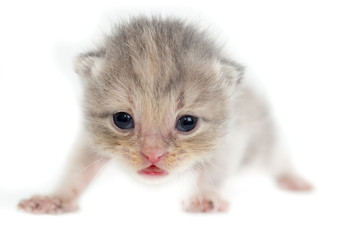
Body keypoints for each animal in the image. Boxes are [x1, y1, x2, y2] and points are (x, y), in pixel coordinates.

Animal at [18, 15, 312, 213]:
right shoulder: (91, 139)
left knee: (276, 156)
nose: (153, 155)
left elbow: (217, 169)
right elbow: (76, 169)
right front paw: (57, 198)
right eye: (122, 119)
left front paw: (206, 195)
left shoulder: (233, 136)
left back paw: (294, 179)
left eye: (187, 122)